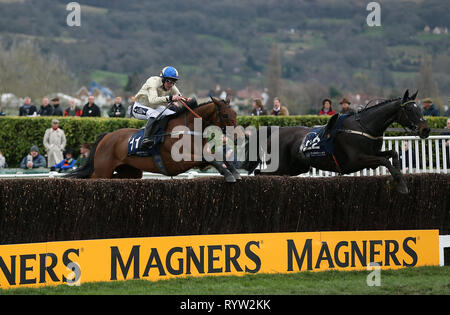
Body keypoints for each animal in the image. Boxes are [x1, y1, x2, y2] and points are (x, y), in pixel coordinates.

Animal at [64, 98, 241, 183]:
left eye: (235, 114)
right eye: (225, 115)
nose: (237, 137)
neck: (188, 128)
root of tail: (106, 136)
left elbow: (218, 156)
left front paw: (235, 172)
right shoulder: (181, 161)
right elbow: (211, 159)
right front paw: (228, 174)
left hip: (131, 172)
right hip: (103, 170)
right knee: (93, 178)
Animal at [248, 89, 430, 195]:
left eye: (420, 108)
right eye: (409, 109)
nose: (425, 130)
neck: (365, 126)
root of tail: (275, 131)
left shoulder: (372, 153)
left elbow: (392, 153)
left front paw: (399, 172)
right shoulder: (356, 160)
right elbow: (385, 160)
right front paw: (402, 185)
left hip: (295, 167)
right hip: (281, 165)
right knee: (259, 173)